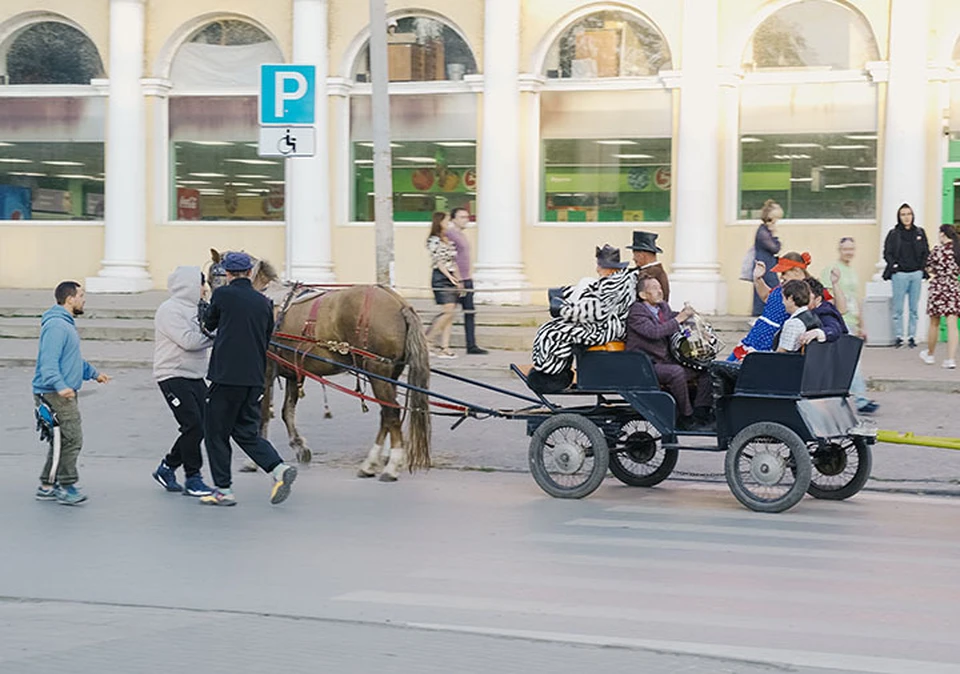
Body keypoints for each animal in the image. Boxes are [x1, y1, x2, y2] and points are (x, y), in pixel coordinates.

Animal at [210, 249, 436, 480]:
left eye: (213, 277)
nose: (210, 312)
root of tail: (400, 304)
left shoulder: (266, 370)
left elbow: (263, 412)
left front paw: (253, 460)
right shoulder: (294, 372)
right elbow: (287, 411)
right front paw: (299, 446)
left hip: (376, 369)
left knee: (391, 412)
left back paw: (391, 465)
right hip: (389, 373)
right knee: (387, 413)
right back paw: (372, 462)